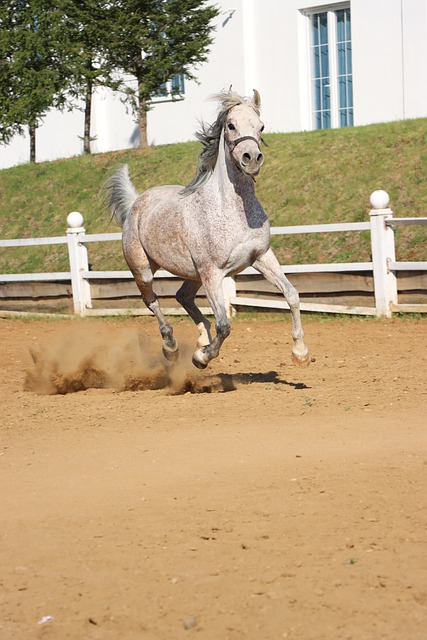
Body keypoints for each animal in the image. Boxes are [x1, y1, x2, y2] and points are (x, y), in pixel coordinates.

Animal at [102, 89, 312, 370]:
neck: (232, 209)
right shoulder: (213, 273)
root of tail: (137, 201)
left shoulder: (262, 256)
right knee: (152, 301)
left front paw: (300, 353)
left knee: (182, 296)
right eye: (231, 125)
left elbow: (292, 295)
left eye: (261, 126)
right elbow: (224, 326)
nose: (252, 159)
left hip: (193, 275)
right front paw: (201, 358)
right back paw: (171, 346)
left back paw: (201, 337)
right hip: (144, 270)